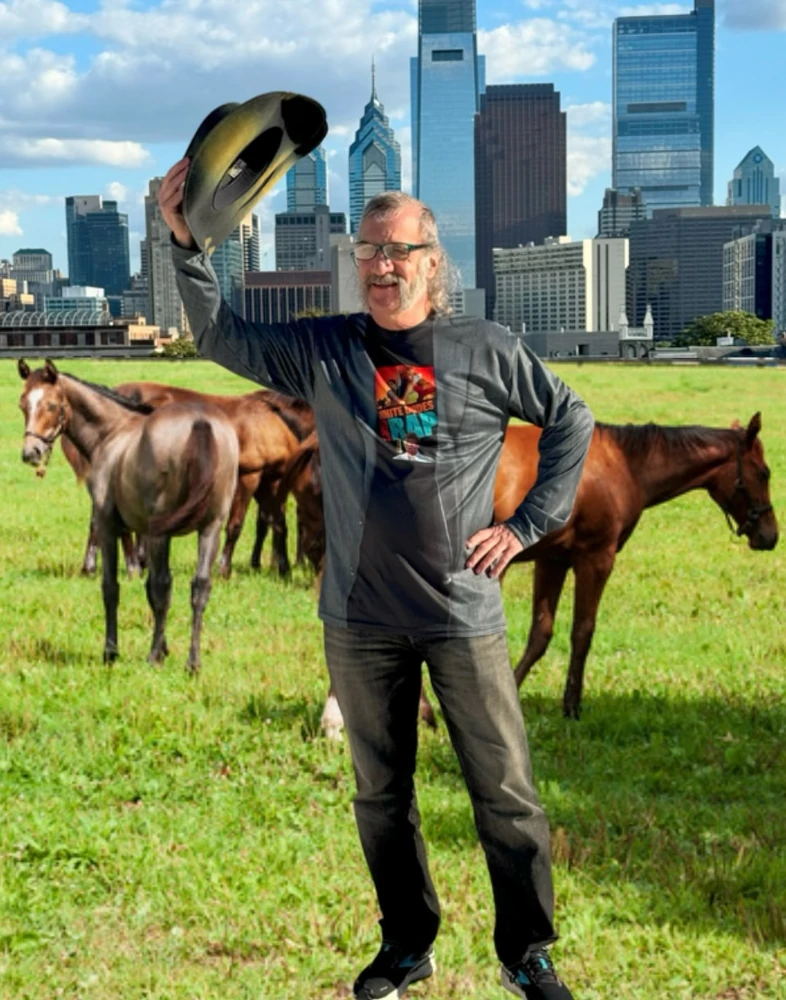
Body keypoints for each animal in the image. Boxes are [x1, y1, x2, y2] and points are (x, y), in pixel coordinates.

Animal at [61, 386, 312, 584]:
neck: (274, 421)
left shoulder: (272, 481)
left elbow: (275, 523)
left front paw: (277, 567)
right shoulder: (250, 477)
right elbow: (236, 526)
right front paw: (224, 570)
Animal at [296, 410, 776, 732]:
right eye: (765, 472)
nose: (769, 535)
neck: (620, 462)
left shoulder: (553, 559)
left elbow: (541, 632)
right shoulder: (596, 558)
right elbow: (582, 631)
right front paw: (570, 705)